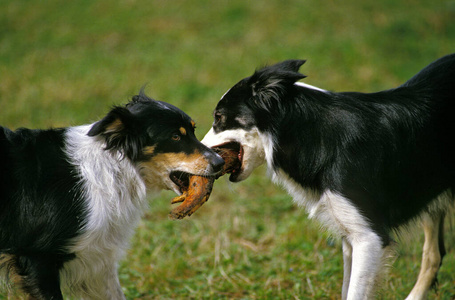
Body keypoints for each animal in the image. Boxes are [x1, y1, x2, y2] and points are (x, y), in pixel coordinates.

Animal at [0, 92, 224, 300]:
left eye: (193, 131)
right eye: (175, 137)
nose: (220, 162)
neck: (116, 167)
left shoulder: (97, 258)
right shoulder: (38, 256)